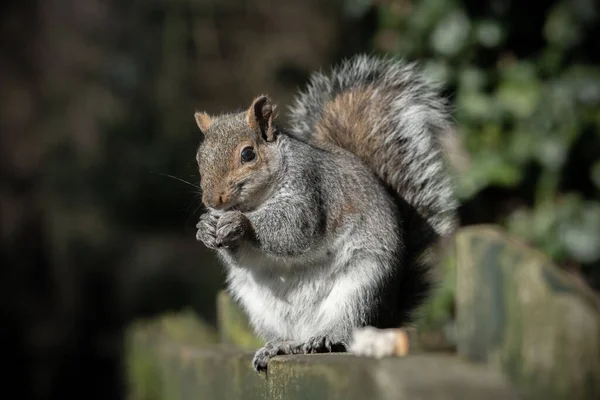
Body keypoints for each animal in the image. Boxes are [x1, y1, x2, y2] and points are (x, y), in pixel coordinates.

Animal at [195, 54, 458, 372]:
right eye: (199, 158)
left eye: (248, 154)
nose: (213, 199)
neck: (257, 202)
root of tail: (387, 316)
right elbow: (242, 256)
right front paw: (205, 227)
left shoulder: (312, 189)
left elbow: (294, 228)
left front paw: (240, 223)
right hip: (259, 306)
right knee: (292, 339)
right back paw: (281, 345)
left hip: (361, 289)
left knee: (347, 330)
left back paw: (326, 339)